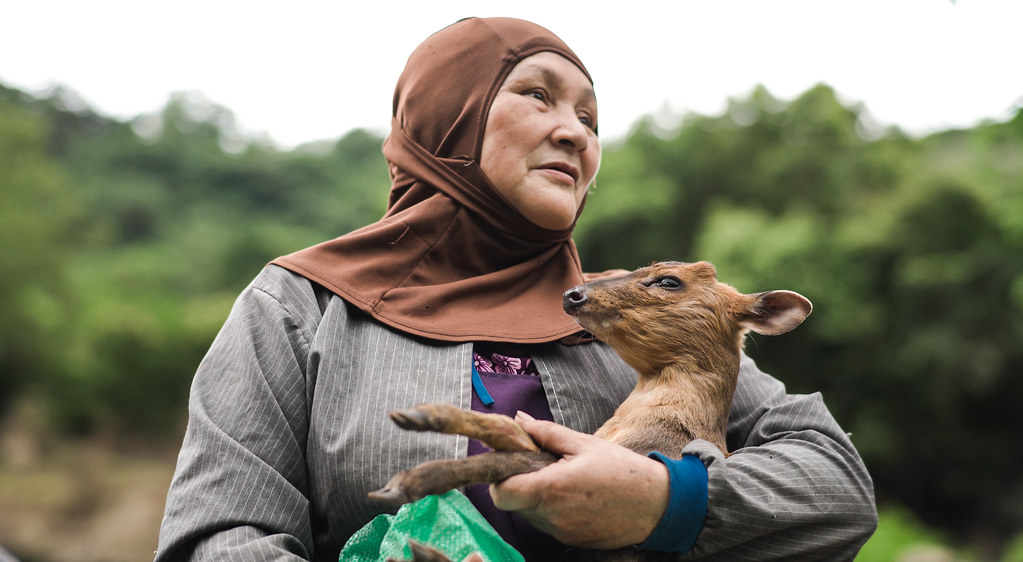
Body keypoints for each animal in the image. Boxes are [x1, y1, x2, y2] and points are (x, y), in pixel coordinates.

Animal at [372, 261, 810, 556]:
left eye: (669, 280)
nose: (573, 293)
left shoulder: (638, 450)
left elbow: (514, 454)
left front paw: (409, 479)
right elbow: (512, 431)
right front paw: (422, 415)